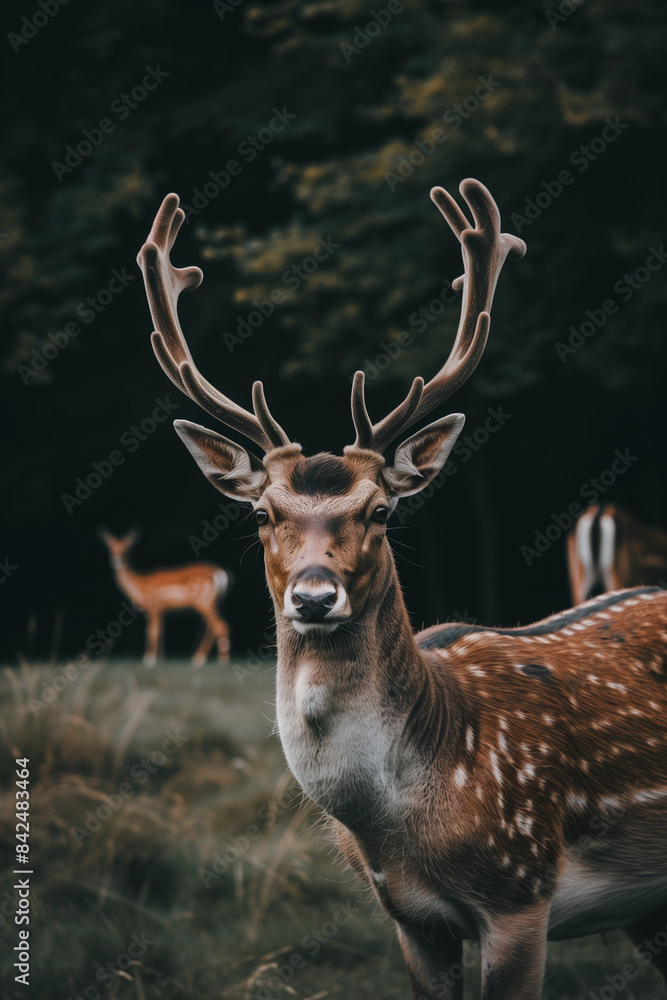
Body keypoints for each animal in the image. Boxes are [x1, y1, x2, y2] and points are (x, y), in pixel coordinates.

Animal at [100, 529, 230, 666]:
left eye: (126, 548)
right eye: (110, 548)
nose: (116, 561)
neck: (139, 586)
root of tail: (221, 574)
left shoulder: (154, 607)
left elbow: (152, 632)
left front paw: (149, 660)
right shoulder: (161, 611)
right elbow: (160, 633)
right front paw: (160, 660)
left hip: (204, 601)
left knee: (221, 625)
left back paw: (221, 661)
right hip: (215, 602)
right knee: (212, 627)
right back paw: (199, 658)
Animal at [137, 180, 667, 999]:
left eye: (381, 509)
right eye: (262, 513)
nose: (314, 597)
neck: (400, 825)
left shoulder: (520, 894)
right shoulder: (410, 920)